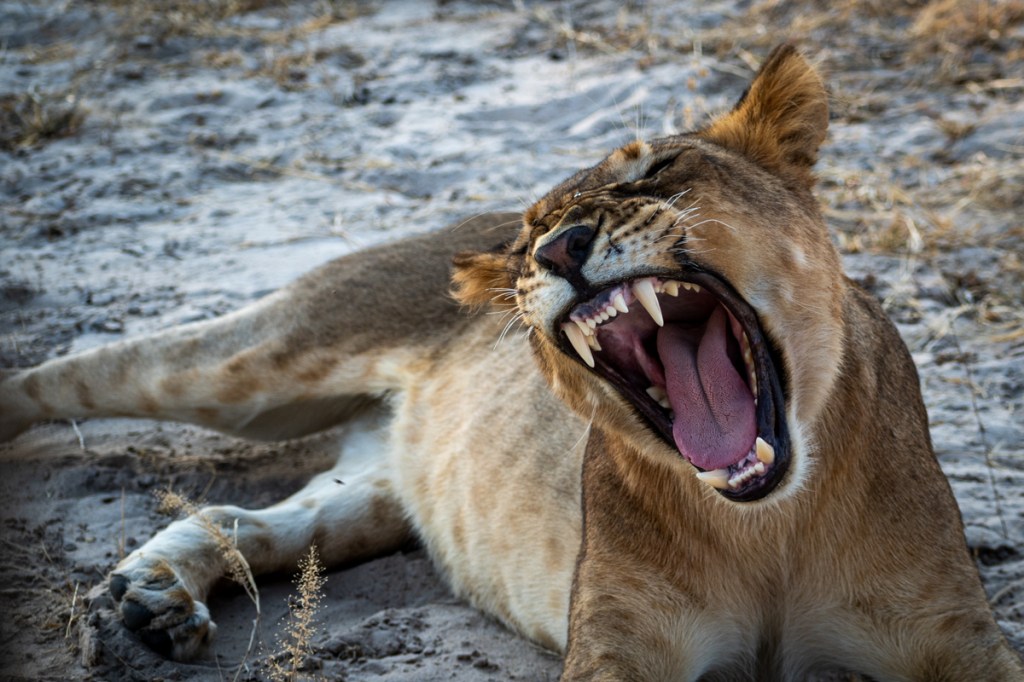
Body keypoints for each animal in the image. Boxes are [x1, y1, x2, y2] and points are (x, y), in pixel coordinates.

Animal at [1, 46, 1021, 680]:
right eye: (531, 240)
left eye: (653, 172)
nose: (560, 249)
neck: (769, 524)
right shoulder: (616, 644)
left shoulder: (957, 633)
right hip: (256, 358)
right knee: (64, 377)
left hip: (378, 494)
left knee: (245, 514)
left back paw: (154, 599)